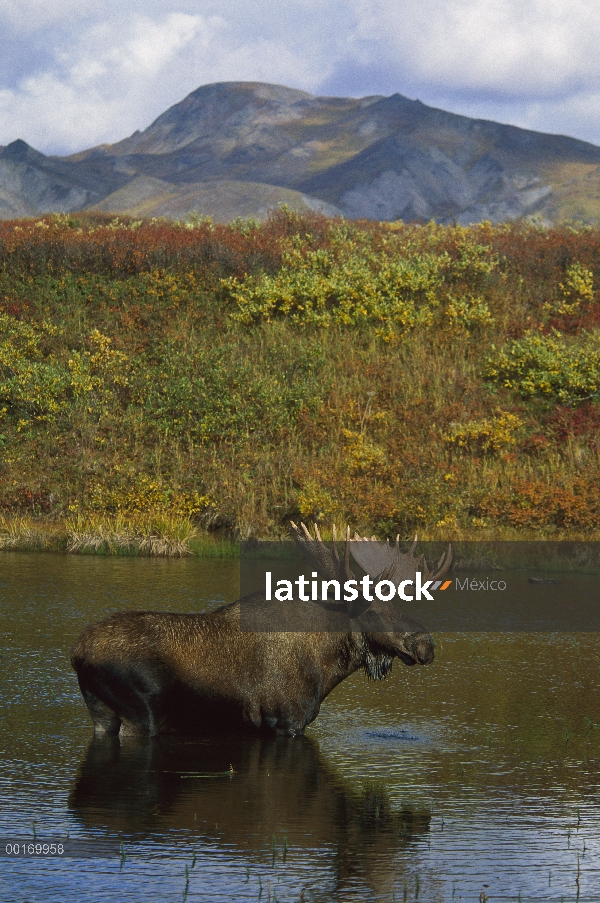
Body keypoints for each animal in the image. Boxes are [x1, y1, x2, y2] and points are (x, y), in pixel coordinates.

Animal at [70, 528, 452, 740]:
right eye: (373, 611)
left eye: (401, 605)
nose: (425, 644)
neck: (327, 667)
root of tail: (77, 652)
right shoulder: (286, 721)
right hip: (140, 714)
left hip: (101, 711)